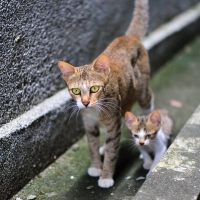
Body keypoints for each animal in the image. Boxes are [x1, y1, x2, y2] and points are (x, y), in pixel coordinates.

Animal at [57, 0, 153, 188]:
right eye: (76, 91)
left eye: (95, 88)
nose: (85, 102)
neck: (95, 110)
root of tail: (129, 37)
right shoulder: (89, 124)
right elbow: (93, 145)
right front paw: (96, 166)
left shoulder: (113, 124)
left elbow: (112, 150)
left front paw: (106, 176)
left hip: (142, 91)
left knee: (149, 101)